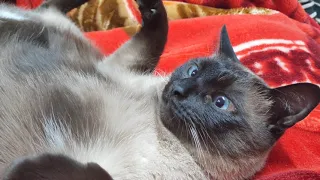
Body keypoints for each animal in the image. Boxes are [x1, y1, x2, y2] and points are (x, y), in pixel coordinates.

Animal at [0, 0, 320, 179]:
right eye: (193, 71)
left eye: (220, 102)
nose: (178, 90)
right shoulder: (117, 68)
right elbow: (157, 36)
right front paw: (149, 3)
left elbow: (96, 173)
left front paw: (26, 167)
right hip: (55, 29)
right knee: (43, 10)